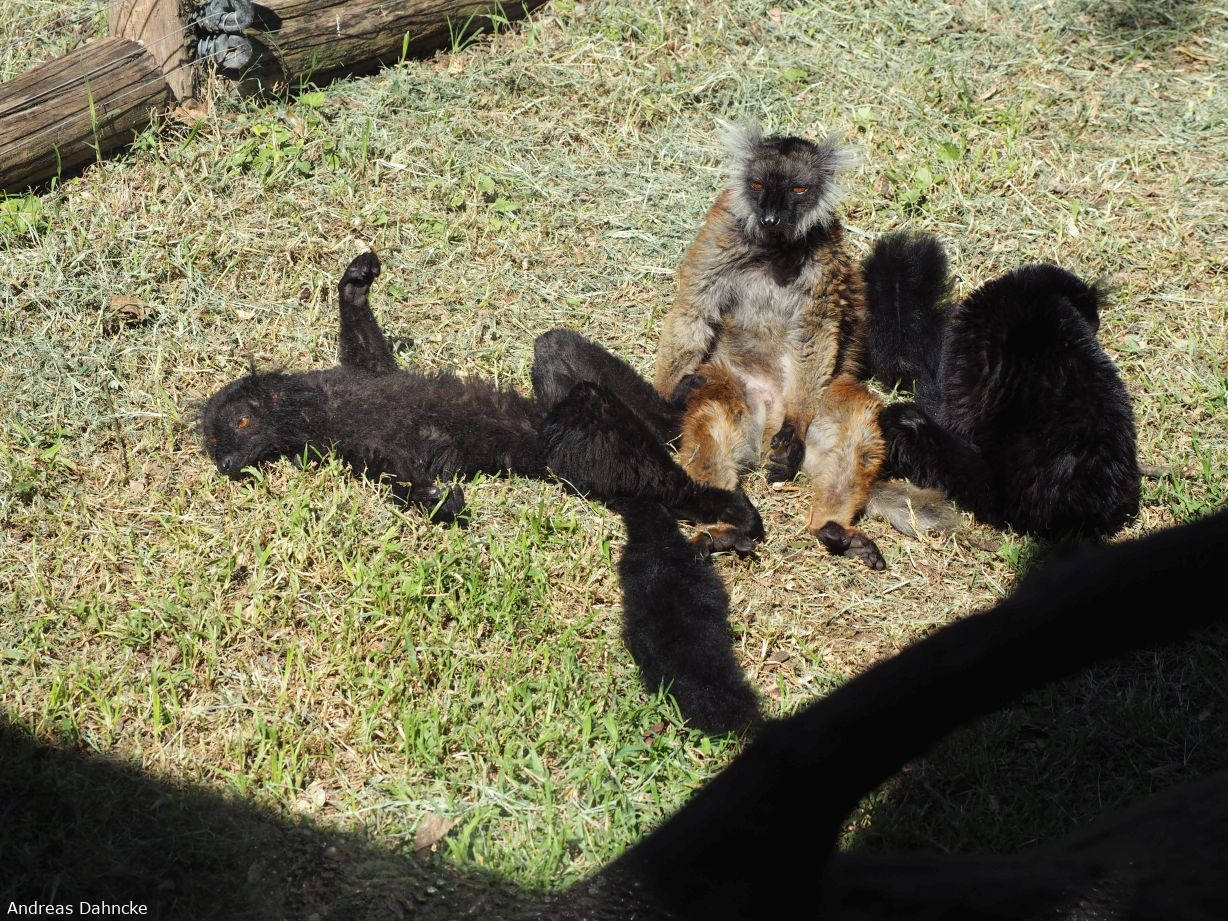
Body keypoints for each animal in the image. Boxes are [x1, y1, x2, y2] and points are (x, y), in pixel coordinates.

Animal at [652, 121, 903, 570]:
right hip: (738, 393)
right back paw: (727, 530)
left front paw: (794, 430)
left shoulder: (824, 257)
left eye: (798, 189)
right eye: (757, 184)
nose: (770, 217)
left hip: (815, 424)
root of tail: (765, 424)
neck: (775, 248)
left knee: (856, 421)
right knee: (711, 413)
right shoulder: (720, 234)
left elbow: (817, 328)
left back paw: (832, 527)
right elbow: (694, 307)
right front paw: (665, 401)